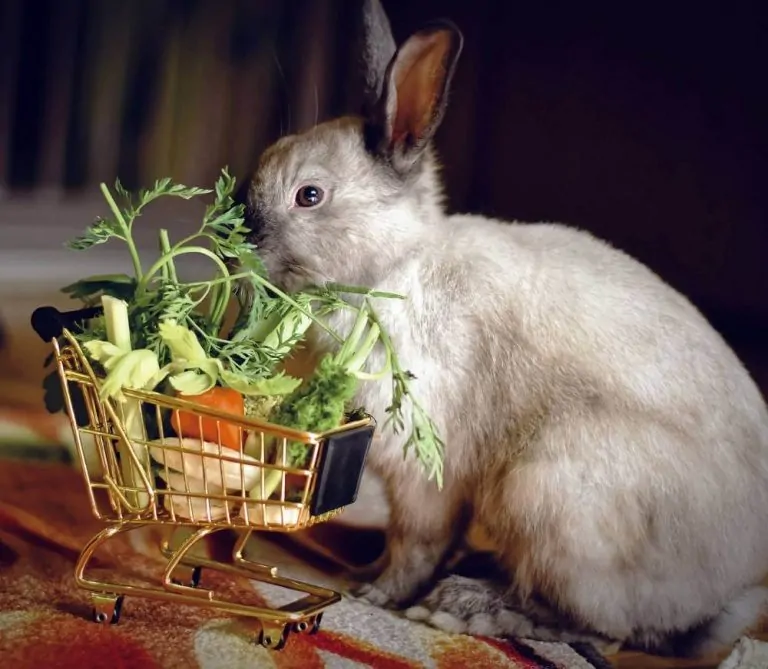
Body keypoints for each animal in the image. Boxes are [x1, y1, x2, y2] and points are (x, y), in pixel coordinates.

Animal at [240, 0, 768, 657]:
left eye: (309, 195)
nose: (240, 239)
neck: (395, 268)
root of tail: (721, 598)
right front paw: (365, 572)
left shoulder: (427, 470)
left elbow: (416, 543)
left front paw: (375, 595)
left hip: (550, 494)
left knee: (601, 628)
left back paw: (464, 607)